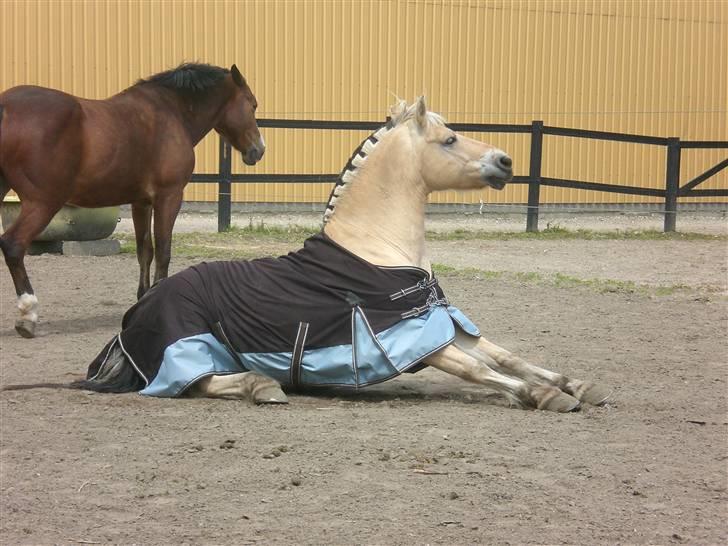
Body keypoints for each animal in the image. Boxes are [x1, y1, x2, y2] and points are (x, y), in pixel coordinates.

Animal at [0, 62, 264, 336]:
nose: (258, 150)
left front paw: (144, 299)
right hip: (43, 203)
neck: (171, 112)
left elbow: (145, 251)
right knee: (13, 244)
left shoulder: (141, 202)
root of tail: (6, 106)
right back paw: (28, 313)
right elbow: (163, 250)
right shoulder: (169, 196)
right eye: (252, 104)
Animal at [79, 99, 612, 412]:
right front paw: (546, 396)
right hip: (189, 350)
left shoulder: (440, 324)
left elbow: (508, 356)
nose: (505, 161)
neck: (377, 251)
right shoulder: (410, 339)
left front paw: (578, 385)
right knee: (197, 383)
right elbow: (482, 370)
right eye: (450, 139)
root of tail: (135, 313)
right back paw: (261, 386)